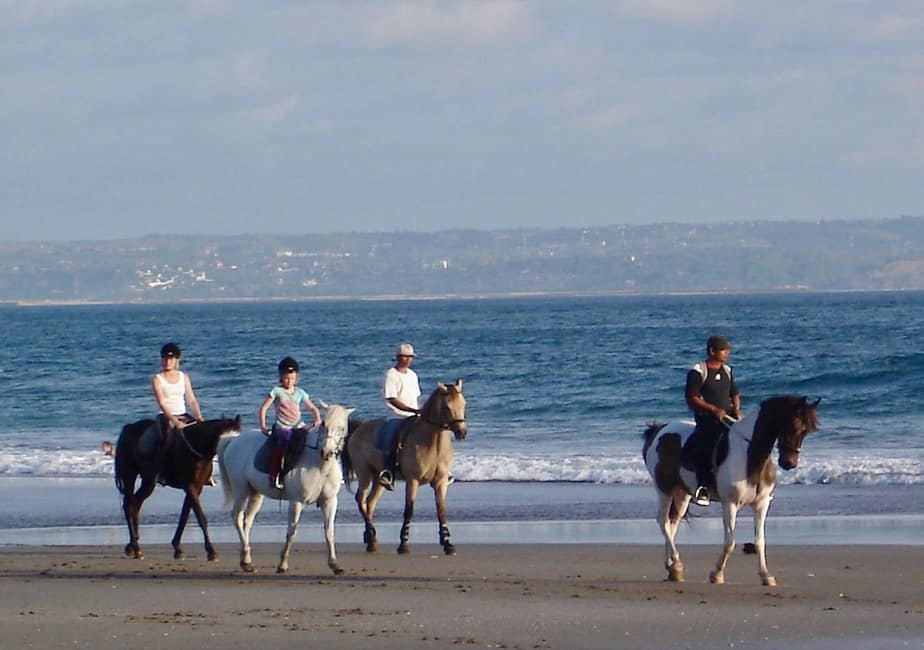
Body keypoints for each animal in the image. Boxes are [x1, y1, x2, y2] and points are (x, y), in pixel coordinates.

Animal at [115, 418, 242, 560]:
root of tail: (128, 428)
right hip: (130, 476)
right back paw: (136, 547)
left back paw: (133, 546)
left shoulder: (196, 488)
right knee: (129, 505)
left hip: (147, 481)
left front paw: (178, 549)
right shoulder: (190, 487)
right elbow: (201, 518)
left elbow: (184, 517)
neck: (197, 445)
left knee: (135, 504)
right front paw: (211, 551)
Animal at [217, 402, 354, 576]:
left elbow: (329, 532)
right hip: (241, 490)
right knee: (237, 517)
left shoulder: (329, 501)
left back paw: (246, 561)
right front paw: (282, 564)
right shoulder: (296, 502)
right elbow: (291, 533)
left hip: (255, 494)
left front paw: (335, 564)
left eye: (342, 428)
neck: (319, 465)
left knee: (247, 522)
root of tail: (234, 440)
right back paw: (246, 561)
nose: (326, 451)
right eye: (324, 424)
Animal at [644, 392, 816, 584]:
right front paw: (717, 574)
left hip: (681, 493)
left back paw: (672, 567)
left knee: (673, 523)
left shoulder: (762, 504)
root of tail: (658, 431)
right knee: (663, 522)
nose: (789, 463)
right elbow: (730, 542)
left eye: (806, 431)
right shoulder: (730, 504)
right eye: (793, 425)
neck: (750, 456)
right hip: (664, 489)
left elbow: (760, 541)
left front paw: (766, 575)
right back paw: (677, 564)